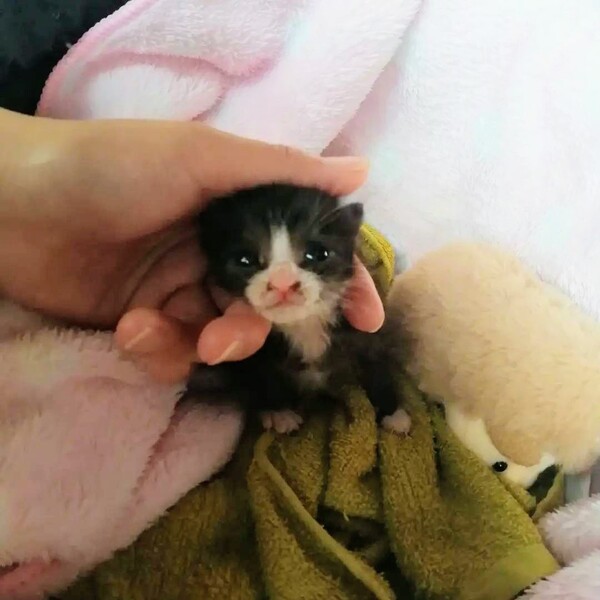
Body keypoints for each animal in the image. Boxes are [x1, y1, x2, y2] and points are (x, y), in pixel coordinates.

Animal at [183, 184, 411, 435]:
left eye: (318, 254)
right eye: (245, 260)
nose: (283, 283)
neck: (304, 324)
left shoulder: (363, 326)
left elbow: (375, 362)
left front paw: (392, 412)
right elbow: (260, 373)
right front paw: (278, 412)